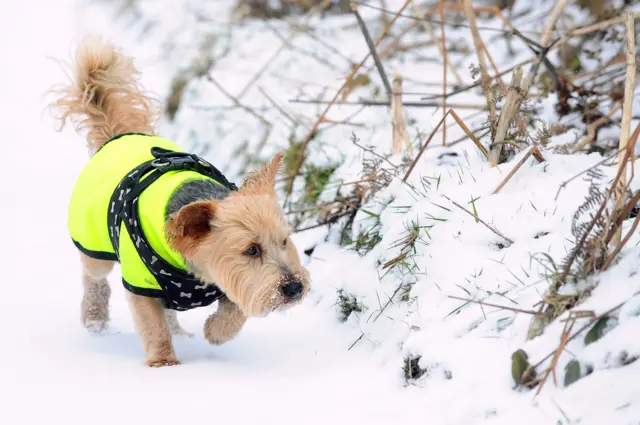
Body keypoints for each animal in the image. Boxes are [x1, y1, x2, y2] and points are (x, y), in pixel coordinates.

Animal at [48, 36, 312, 366]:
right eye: (251, 249)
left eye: (285, 241)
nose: (294, 287)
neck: (196, 274)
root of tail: (119, 135)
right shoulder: (141, 283)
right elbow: (153, 325)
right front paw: (164, 364)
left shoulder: (231, 279)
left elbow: (235, 310)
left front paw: (215, 331)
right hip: (94, 245)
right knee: (93, 276)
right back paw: (94, 317)